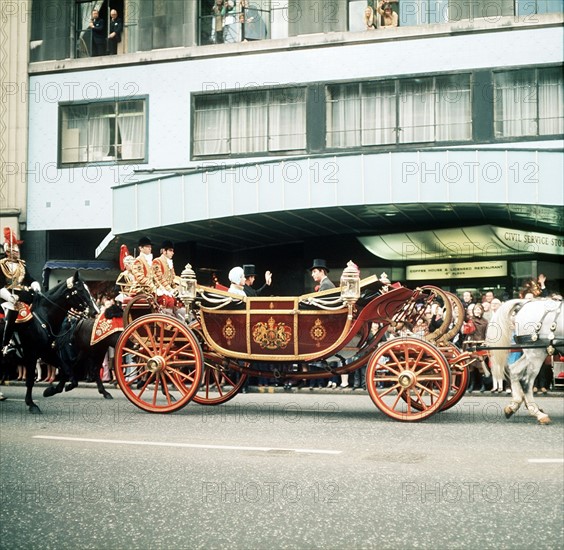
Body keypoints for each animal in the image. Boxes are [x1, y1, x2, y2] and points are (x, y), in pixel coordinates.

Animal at [0, 272, 97, 414]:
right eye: (79, 290)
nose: (96, 311)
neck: (43, 318)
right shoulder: (32, 354)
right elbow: (30, 380)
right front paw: (32, 404)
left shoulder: (46, 353)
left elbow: (66, 370)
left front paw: (51, 390)